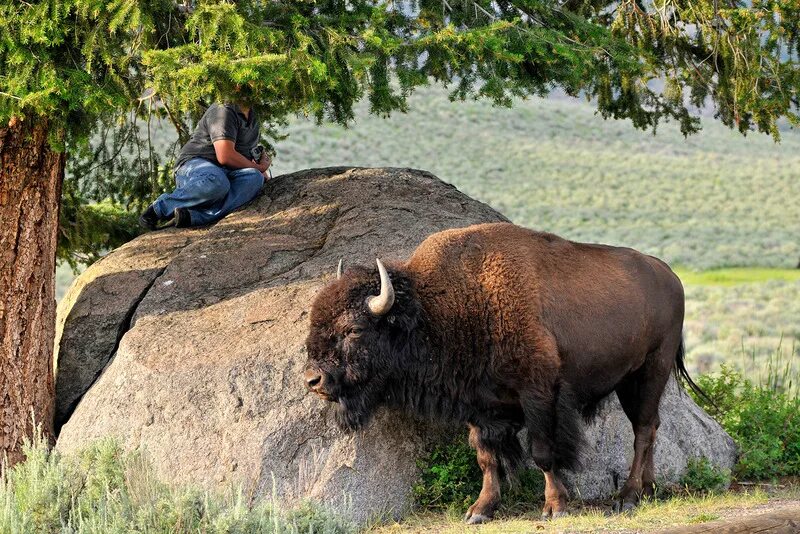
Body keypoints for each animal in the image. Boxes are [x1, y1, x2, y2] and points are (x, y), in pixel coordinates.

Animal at [304, 221, 704, 524]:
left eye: (354, 329)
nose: (314, 380)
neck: (444, 306)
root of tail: (669, 275)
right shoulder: (479, 405)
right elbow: (487, 457)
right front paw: (479, 511)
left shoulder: (539, 394)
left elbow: (542, 451)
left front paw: (554, 507)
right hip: (631, 380)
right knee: (650, 427)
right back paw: (648, 491)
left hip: (651, 370)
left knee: (642, 430)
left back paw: (627, 497)